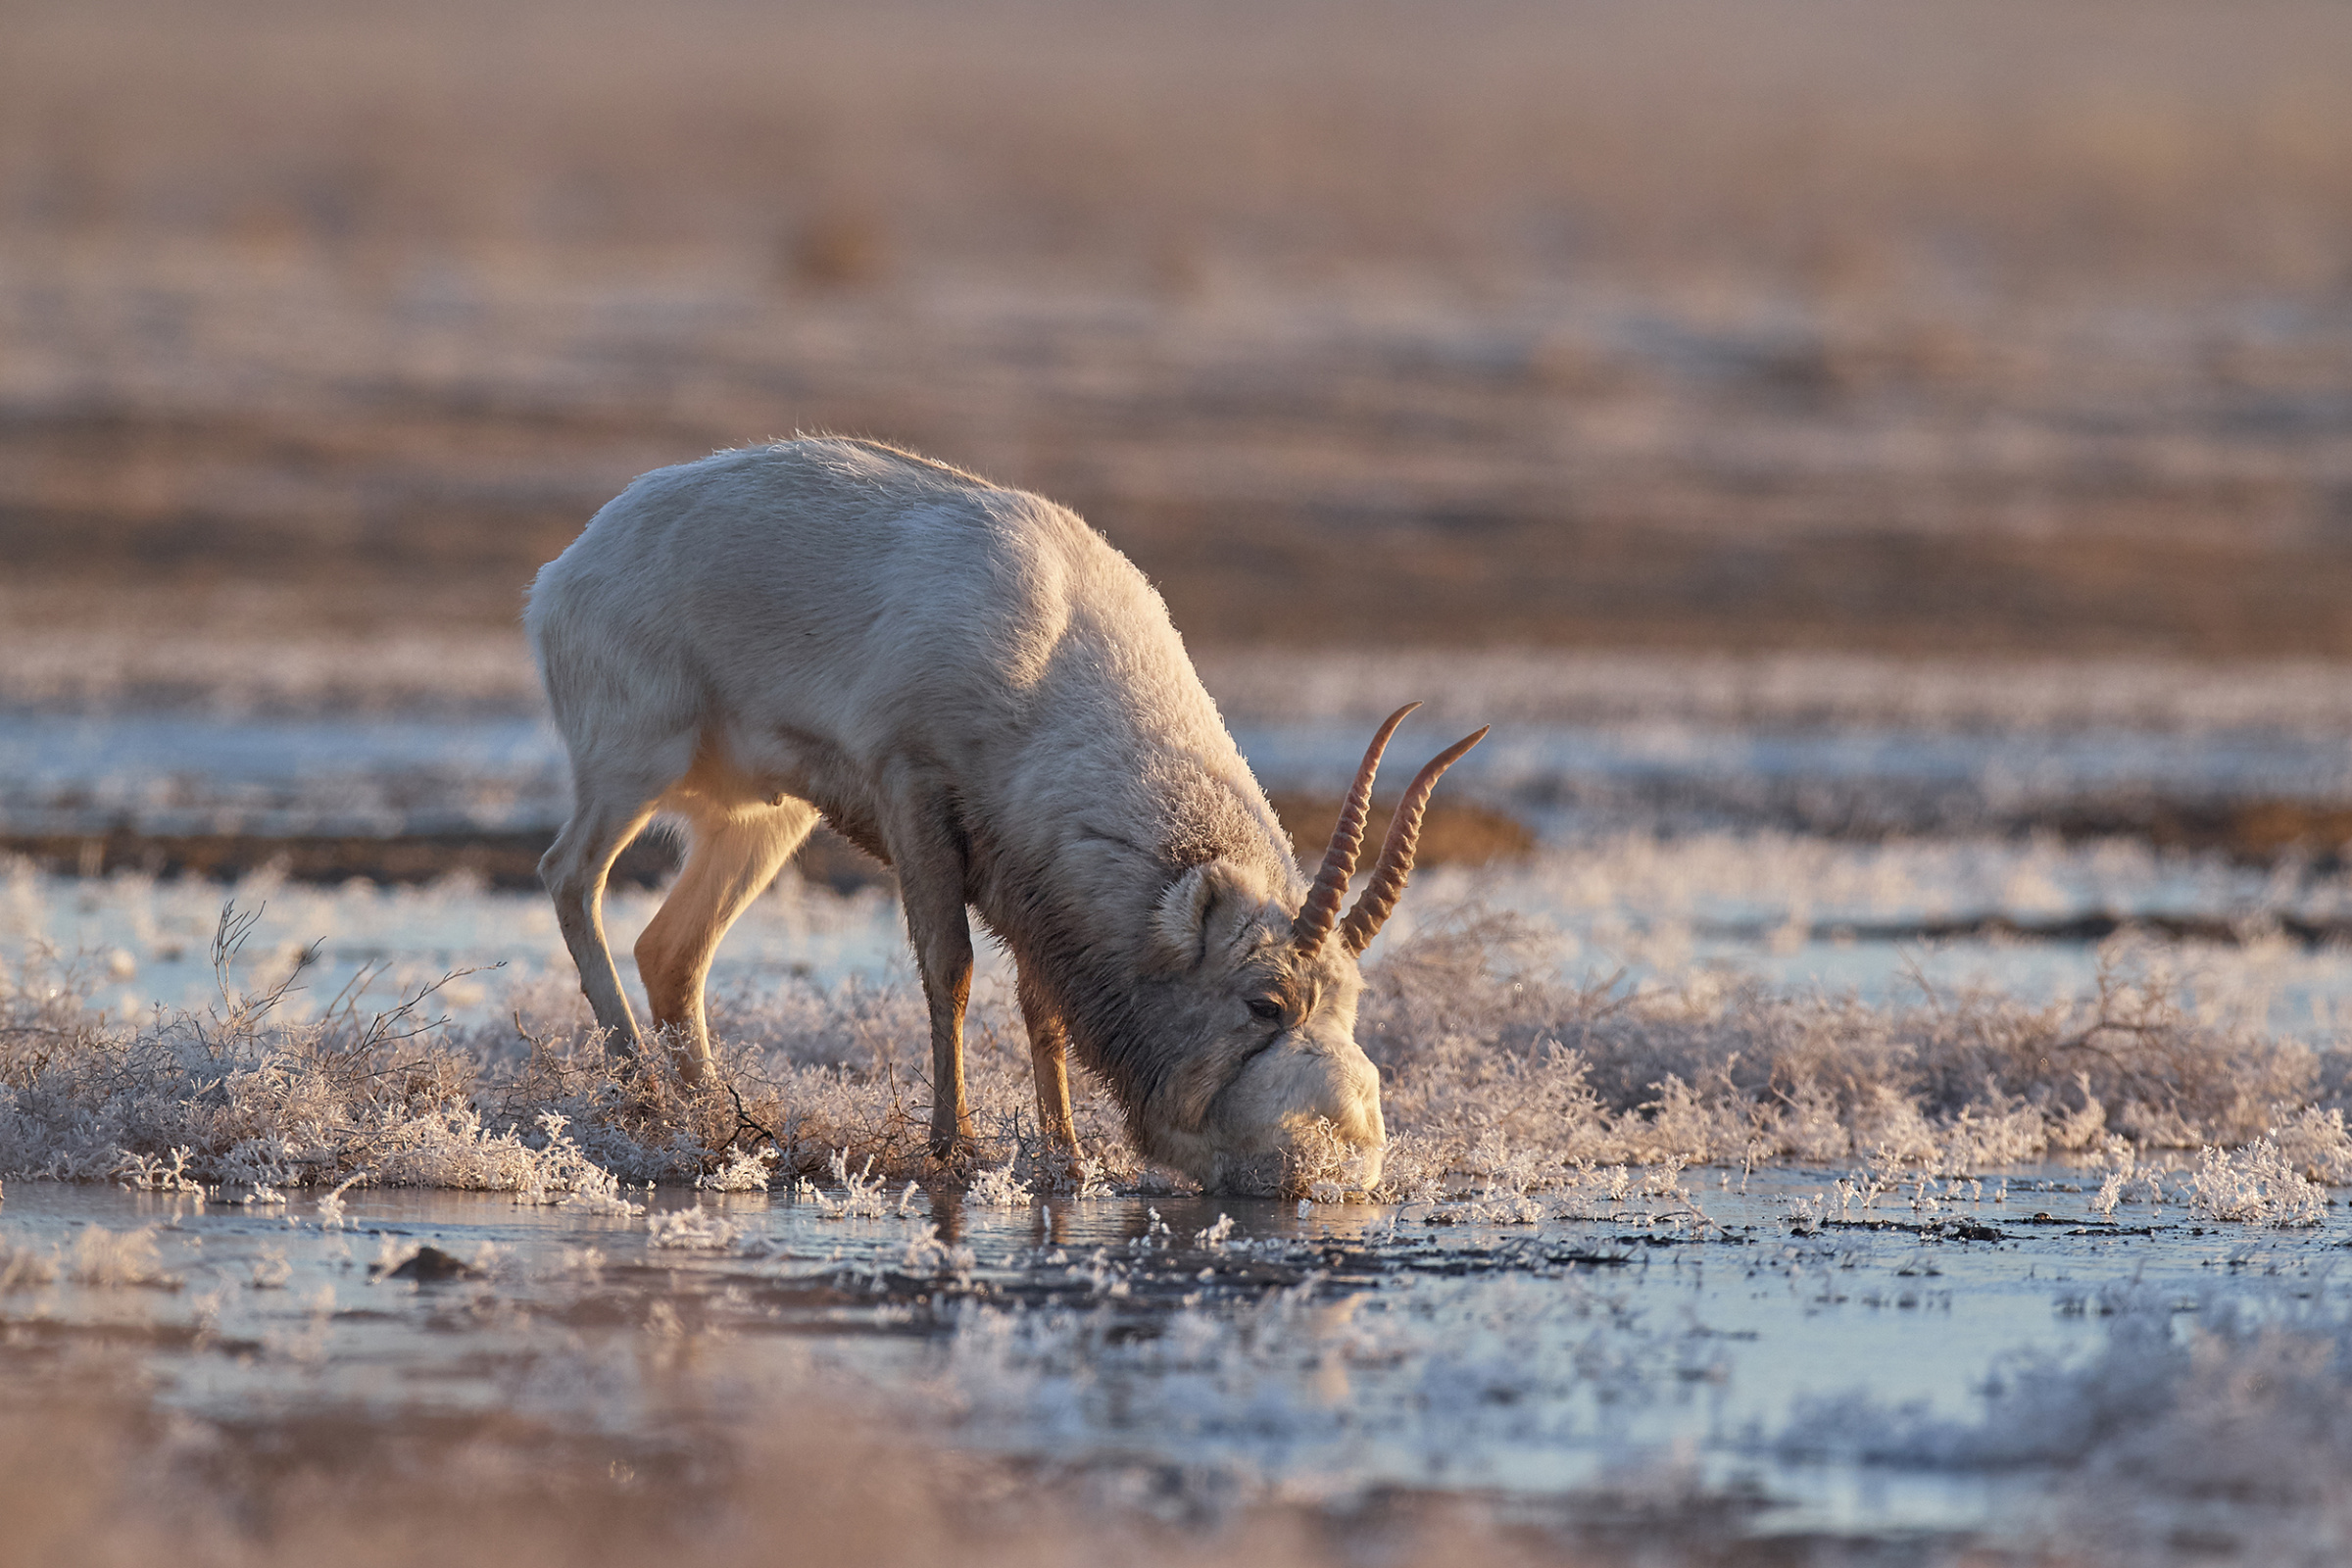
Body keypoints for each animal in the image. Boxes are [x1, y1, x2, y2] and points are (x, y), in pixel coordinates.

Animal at [533, 434, 1486, 1194]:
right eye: (1264, 1004)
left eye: (1350, 1004)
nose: (1341, 1163)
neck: (1056, 645)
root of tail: (564, 571)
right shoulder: (915, 787)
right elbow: (949, 968)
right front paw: (952, 1146)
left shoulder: (1027, 876)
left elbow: (1044, 1008)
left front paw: (1065, 1154)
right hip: (633, 765)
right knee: (570, 875)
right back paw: (640, 1097)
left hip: (765, 823)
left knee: (673, 950)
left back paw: (706, 1126)